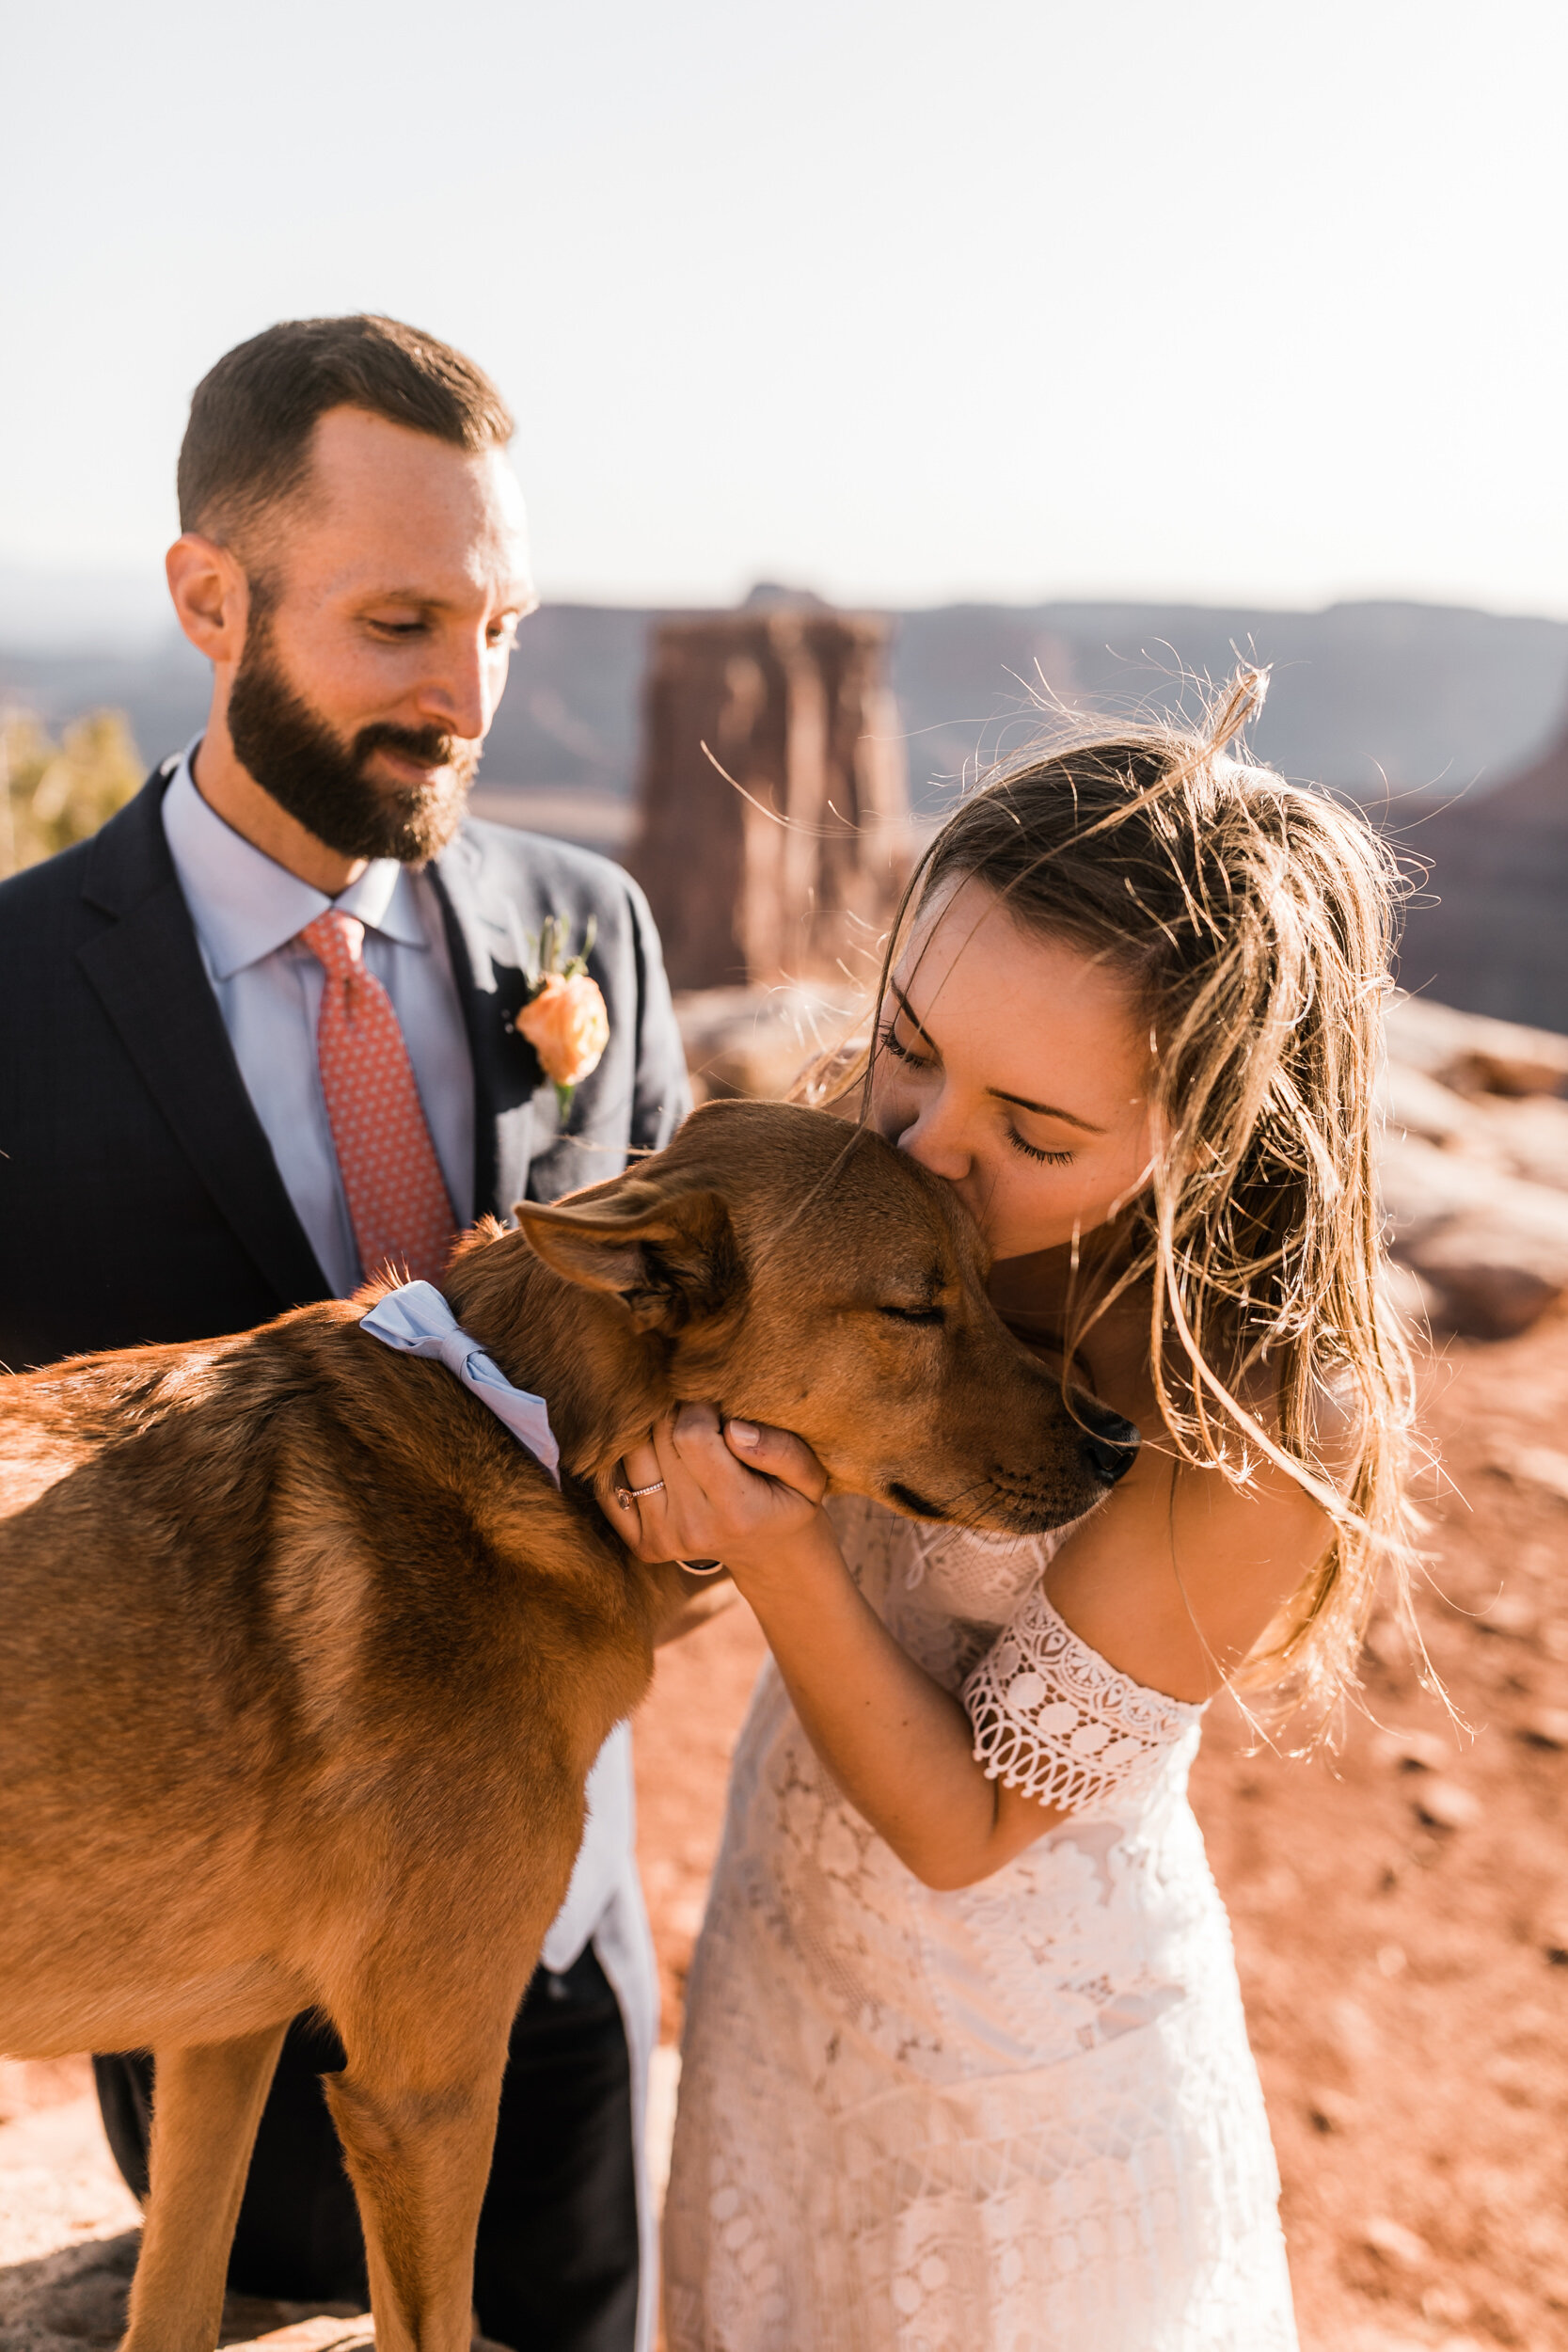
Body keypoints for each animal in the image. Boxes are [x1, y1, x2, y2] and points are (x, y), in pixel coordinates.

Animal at [0, 1101, 1128, 2352]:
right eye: (913, 1308)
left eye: (984, 1279)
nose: (1118, 1443)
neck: (519, 1436)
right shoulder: (421, 2093)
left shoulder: (220, 2039)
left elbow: (175, 2302)